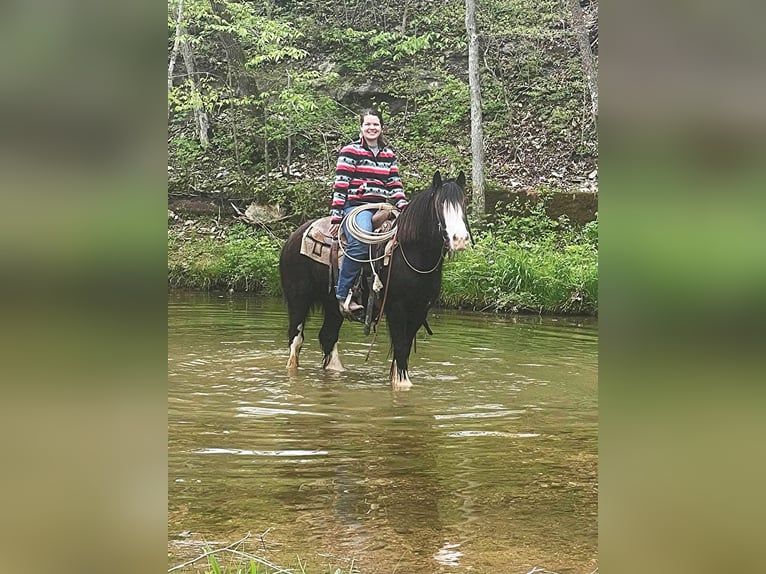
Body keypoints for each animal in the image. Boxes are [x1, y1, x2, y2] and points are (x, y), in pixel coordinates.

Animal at [280, 169, 472, 390]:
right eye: (440, 204)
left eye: (464, 202)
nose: (460, 239)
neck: (412, 253)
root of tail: (294, 236)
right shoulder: (396, 308)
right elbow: (400, 347)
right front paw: (402, 384)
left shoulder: (419, 311)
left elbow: (404, 348)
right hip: (298, 300)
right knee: (296, 339)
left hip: (333, 306)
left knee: (328, 336)